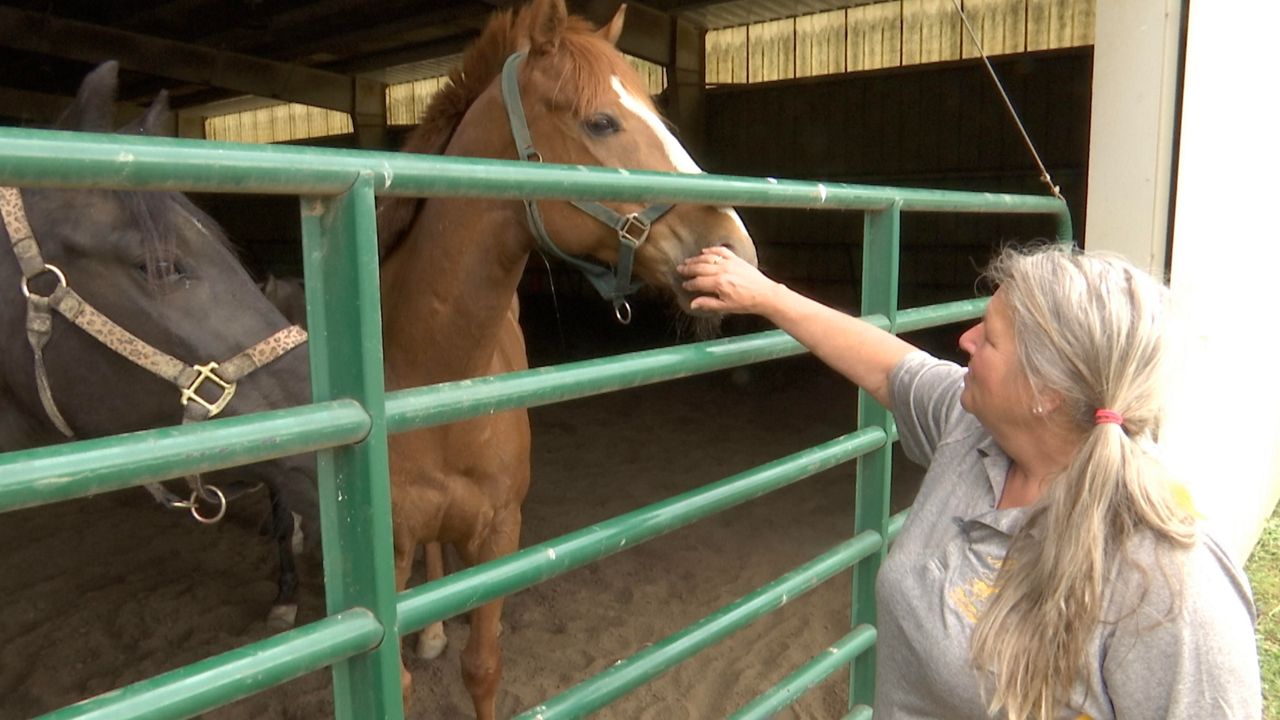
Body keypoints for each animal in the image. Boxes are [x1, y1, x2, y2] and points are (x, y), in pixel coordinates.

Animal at [373, 0, 757, 712]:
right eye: (601, 122)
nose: (734, 249)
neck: (434, 370)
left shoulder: (501, 532)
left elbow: (484, 666)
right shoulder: (390, 551)